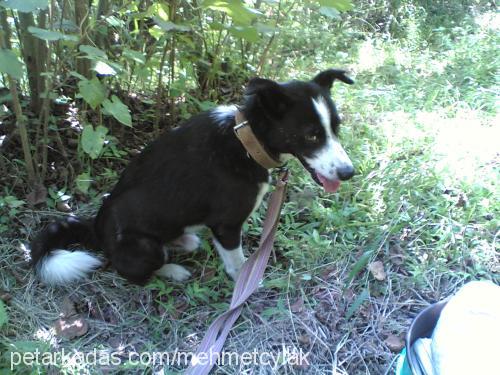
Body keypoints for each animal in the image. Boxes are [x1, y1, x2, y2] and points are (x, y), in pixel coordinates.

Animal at [30, 69, 356, 284]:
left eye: (336, 128)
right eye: (311, 135)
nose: (349, 173)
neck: (245, 140)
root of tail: (96, 228)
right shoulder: (226, 226)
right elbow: (237, 263)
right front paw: (246, 283)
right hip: (144, 247)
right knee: (136, 272)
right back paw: (172, 270)